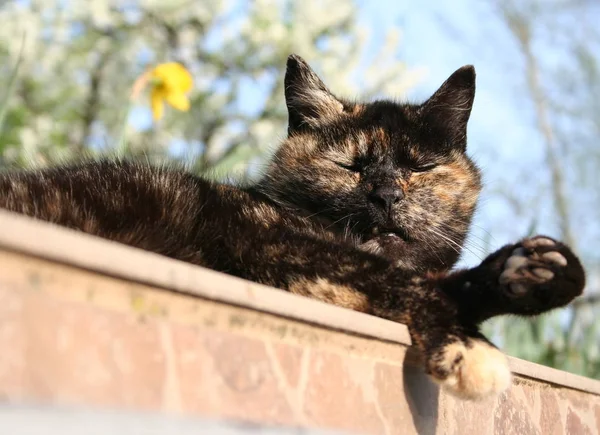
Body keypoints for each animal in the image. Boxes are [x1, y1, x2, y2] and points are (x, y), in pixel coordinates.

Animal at [0, 55, 584, 402]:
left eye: (419, 167)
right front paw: (469, 347)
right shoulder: (279, 250)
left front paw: (536, 273)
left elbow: (432, 277)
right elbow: (402, 279)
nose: (385, 195)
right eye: (351, 165)